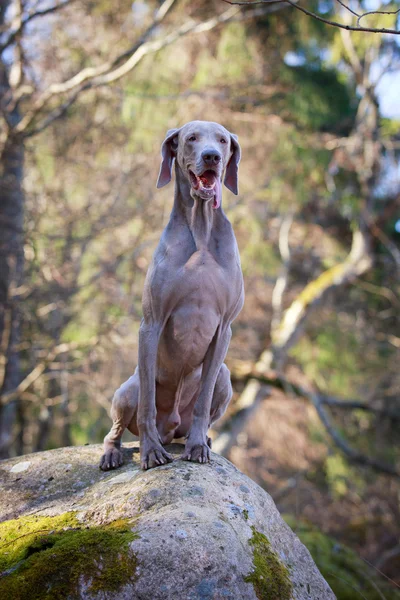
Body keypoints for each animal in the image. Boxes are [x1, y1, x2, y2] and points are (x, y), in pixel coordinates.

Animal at [100, 119, 244, 472]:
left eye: (223, 141)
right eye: (191, 138)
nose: (211, 156)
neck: (201, 230)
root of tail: (171, 428)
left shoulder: (224, 328)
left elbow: (203, 402)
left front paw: (197, 447)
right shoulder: (151, 323)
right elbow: (147, 408)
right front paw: (150, 452)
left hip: (225, 377)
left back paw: (200, 438)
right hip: (128, 389)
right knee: (117, 428)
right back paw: (114, 452)